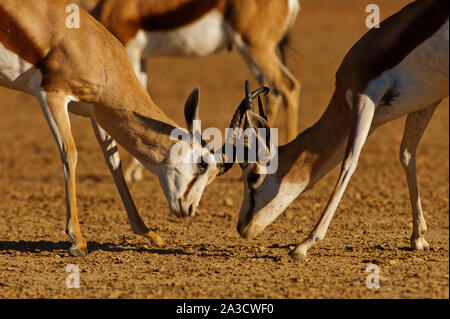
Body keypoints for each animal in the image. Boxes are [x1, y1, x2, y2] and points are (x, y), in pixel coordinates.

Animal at [0, 0, 243, 256]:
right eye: (202, 163)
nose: (188, 209)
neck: (89, 46)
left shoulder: (96, 113)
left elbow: (113, 163)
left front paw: (149, 233)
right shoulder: (52, 95)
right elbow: (70, 153)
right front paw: (77, 241)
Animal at [71, 0, 302, 184]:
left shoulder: (129, 49)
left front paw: (130, 172)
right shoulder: (141, 57)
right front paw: (136, 171)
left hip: (255, 46)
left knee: (289, 86)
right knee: (272, 93)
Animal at [230, 0, 448, 260]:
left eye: (253, 176)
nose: (242, 227)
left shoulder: (364, 98)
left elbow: (349, 162)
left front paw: (304, 244)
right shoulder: (425, 103)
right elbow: (406, 155)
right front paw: (418, 237)